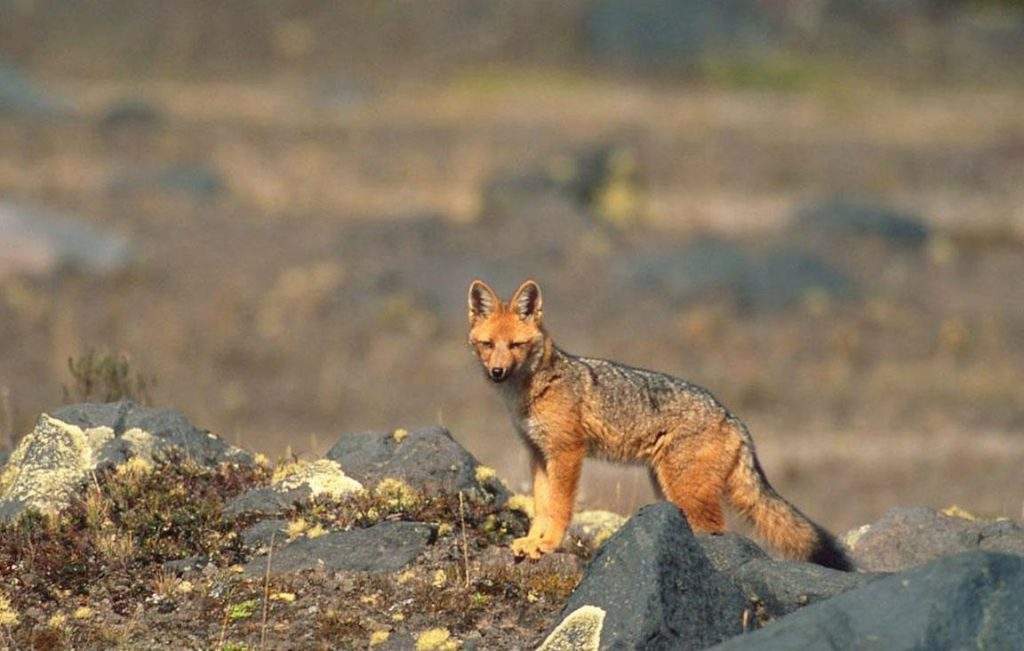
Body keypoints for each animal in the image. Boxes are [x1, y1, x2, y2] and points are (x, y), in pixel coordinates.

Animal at [468, 280, 851, 569]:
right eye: (488, 344)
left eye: (516, 345)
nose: (497, 372)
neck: (532, 391)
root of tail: (734, 418)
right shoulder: (538, 453)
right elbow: (542, 506)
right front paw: (532, 541)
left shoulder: (567, 453)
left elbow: (560, 508)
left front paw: (547, 545)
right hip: (667, 488)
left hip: (686, 491)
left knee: (717, 528)